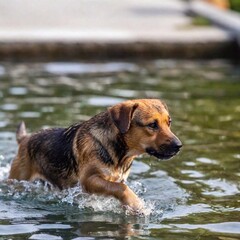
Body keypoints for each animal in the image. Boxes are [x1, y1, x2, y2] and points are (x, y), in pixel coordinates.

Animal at [9, 99, 182, 212]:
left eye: (169, 122)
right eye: (152, 125)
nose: (179, 146)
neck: (121, 154)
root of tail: (25, 139)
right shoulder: (89, 180)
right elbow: (121, 188)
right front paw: (136, 204)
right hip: (18, 178)